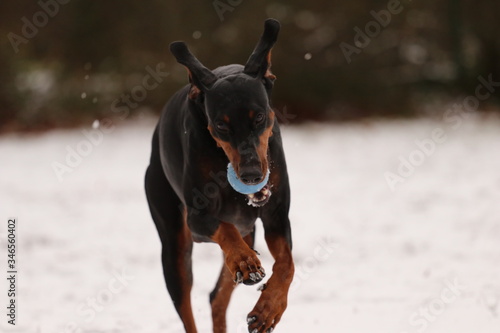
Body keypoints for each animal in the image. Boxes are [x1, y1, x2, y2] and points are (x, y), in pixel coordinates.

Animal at [145, 18, 292, 332]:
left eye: (259, 116)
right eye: (221, 125)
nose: (251, 175)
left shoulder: (276, 217)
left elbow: (286, 264)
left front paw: (268, 309)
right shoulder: (198, 219)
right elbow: (223, 229)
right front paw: (244, 261)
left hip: (248, 230)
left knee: (217, 297)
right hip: (174, 246)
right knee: (186, 305)